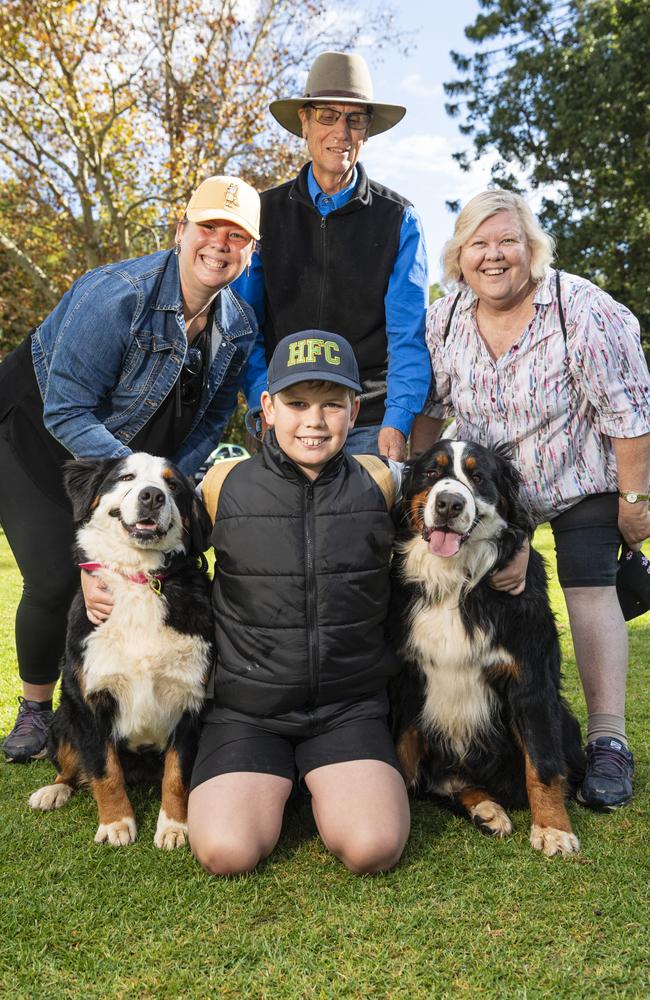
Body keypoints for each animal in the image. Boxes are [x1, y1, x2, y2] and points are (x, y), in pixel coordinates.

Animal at [29, 454, 211, 852]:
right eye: (126, 477)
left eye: (173, 485)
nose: (152, 496)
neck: (139, 581)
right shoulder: (89, 701)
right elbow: (104, 771)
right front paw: (116, 824)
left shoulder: (191, 701)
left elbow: (178, 775)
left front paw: (174, 826)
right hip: (62, 719)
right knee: (69, 768)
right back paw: (52, 791)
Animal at [388, 444, 584, 860]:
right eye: (432, 473)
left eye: (478, 478)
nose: (449, 503)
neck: (454, 580)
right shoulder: (407, 676)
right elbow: (403, 752)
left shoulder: (530, 680)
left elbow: (542, 761)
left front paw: (553, 829)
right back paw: (485, 807)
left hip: (567, 720)